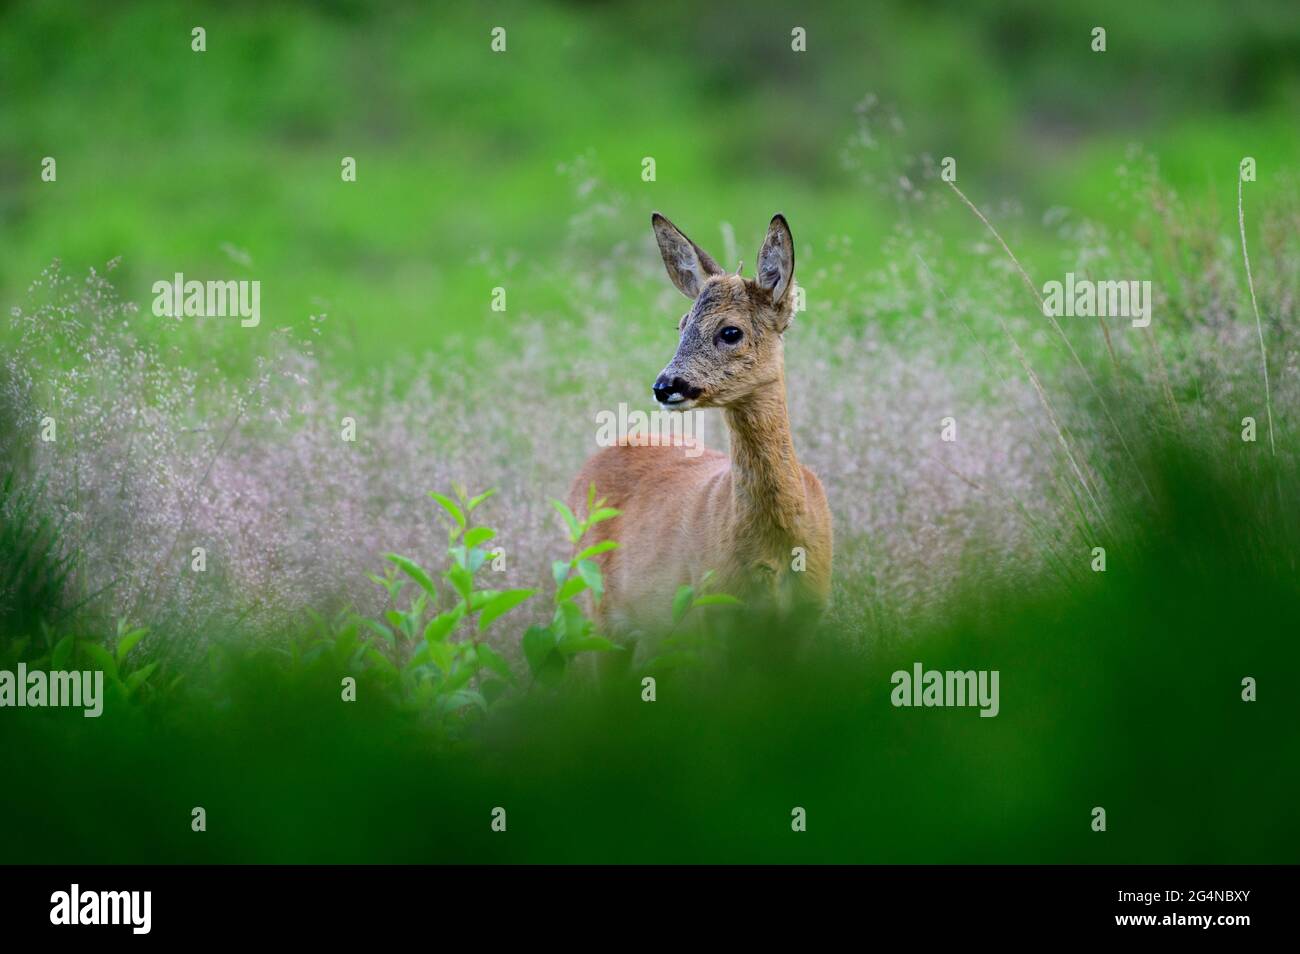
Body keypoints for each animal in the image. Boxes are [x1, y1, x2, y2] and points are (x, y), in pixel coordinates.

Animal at [566, 212, 832, 667]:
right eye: (681, 325)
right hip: (599, 611)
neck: (778, 547)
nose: (664, 386)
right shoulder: (714, 614)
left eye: (730, 332)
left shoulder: (808, 618)